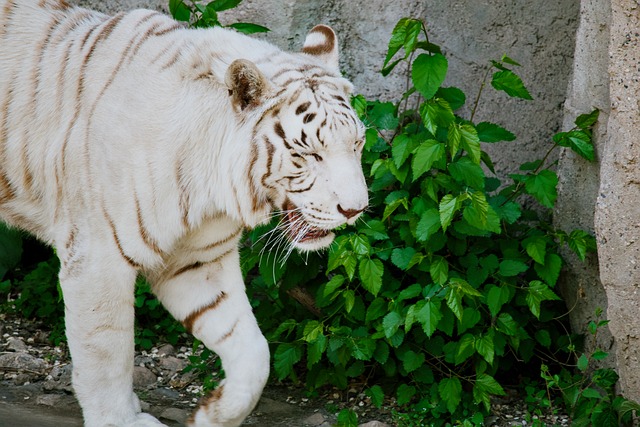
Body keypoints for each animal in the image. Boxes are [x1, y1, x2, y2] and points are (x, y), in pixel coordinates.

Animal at [0, 0, 368, 426]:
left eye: (357, 144)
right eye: (309, 154)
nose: (355, 209)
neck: (207, 187)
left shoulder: (198, 262)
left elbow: (254, 352)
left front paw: (213, 413)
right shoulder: (97, 259)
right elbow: (105, 353)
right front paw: (119, 420)